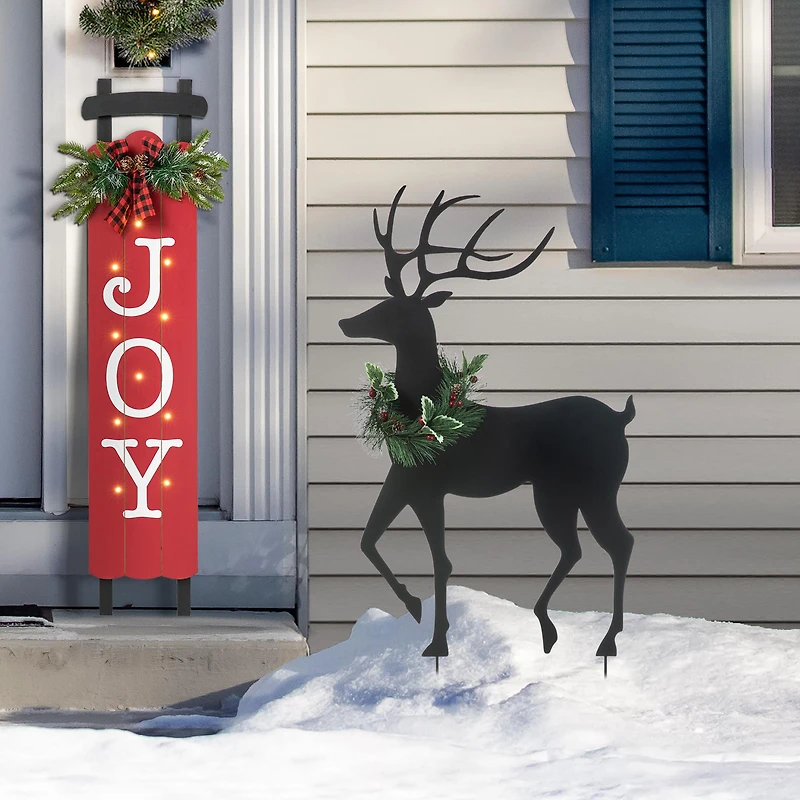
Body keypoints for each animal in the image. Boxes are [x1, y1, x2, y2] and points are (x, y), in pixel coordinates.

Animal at [338, 187, 636, 671]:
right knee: (580, 548)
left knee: (617, 543)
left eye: (396, 311)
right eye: (383, 302)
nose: (346, 322)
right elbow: (367, 541)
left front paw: (437, 643)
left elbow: (441, 562)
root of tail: (620, 418)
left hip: (591, 486)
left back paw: (605, 640)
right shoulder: (403, 479)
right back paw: (552, 630)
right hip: (560, 492)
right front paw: (414, 607)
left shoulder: (429, 487)